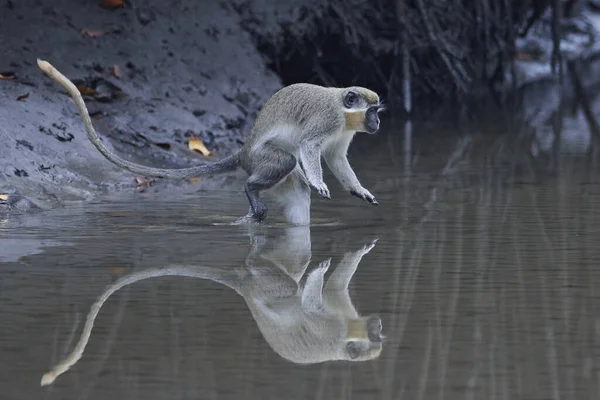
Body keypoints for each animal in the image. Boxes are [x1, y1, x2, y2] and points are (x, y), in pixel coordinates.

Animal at [37, 60, 382, 227]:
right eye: (373, 111)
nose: (377, 124)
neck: (343, 110)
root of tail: (243, 151)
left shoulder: (342, 133)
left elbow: (335, 159)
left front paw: (359, 190)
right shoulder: (327, 120)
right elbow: (310, 147)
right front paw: (320, 183)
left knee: (296, 190)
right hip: (262, 158)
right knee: (285, 161)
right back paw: (251, 191)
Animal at [39, 227, 384, 386]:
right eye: (372, 339)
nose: (381, 330)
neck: (345, 334)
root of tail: (245, 290)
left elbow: (337, 288)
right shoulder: (330, 327)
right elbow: (312, 304)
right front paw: (319, 274)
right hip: (268, 289)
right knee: (288, 292)